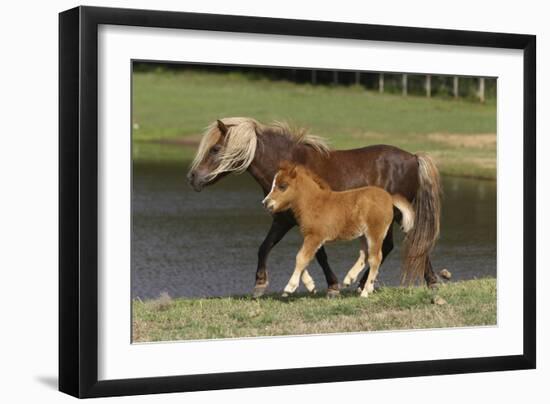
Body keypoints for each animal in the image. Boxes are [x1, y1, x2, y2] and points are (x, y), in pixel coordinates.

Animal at [262, 163, 414, 298]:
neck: (313, 203)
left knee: (375, 258)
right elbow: (304, 258)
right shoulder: (311, 238)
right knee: (364, 254)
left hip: (375, 232)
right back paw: (350, 280)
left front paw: (289, 287)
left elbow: (301, 258)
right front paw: (310, 285)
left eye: (283, 186)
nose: (265, 203)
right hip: (363, 234)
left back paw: (365, 292)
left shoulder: (314, 236)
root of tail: (389, 197)